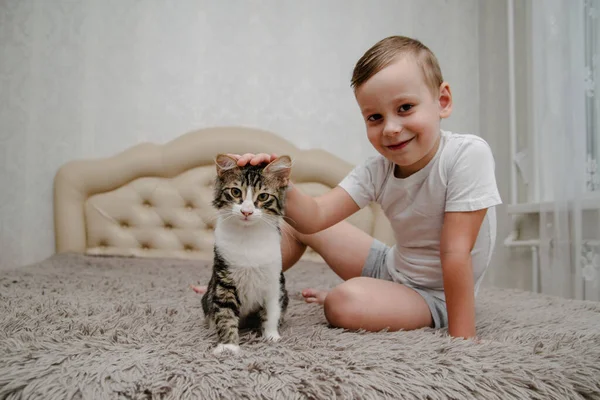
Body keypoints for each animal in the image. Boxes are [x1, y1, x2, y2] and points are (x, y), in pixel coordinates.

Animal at [203, 154, 292, 356]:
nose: (246, 211)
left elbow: (272, 311)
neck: (248, 235)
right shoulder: (223, 280)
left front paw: (271, 336)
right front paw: (228, 345)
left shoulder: (274, 280)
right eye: (236, 192)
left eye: (263, 196)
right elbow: (225, 315)